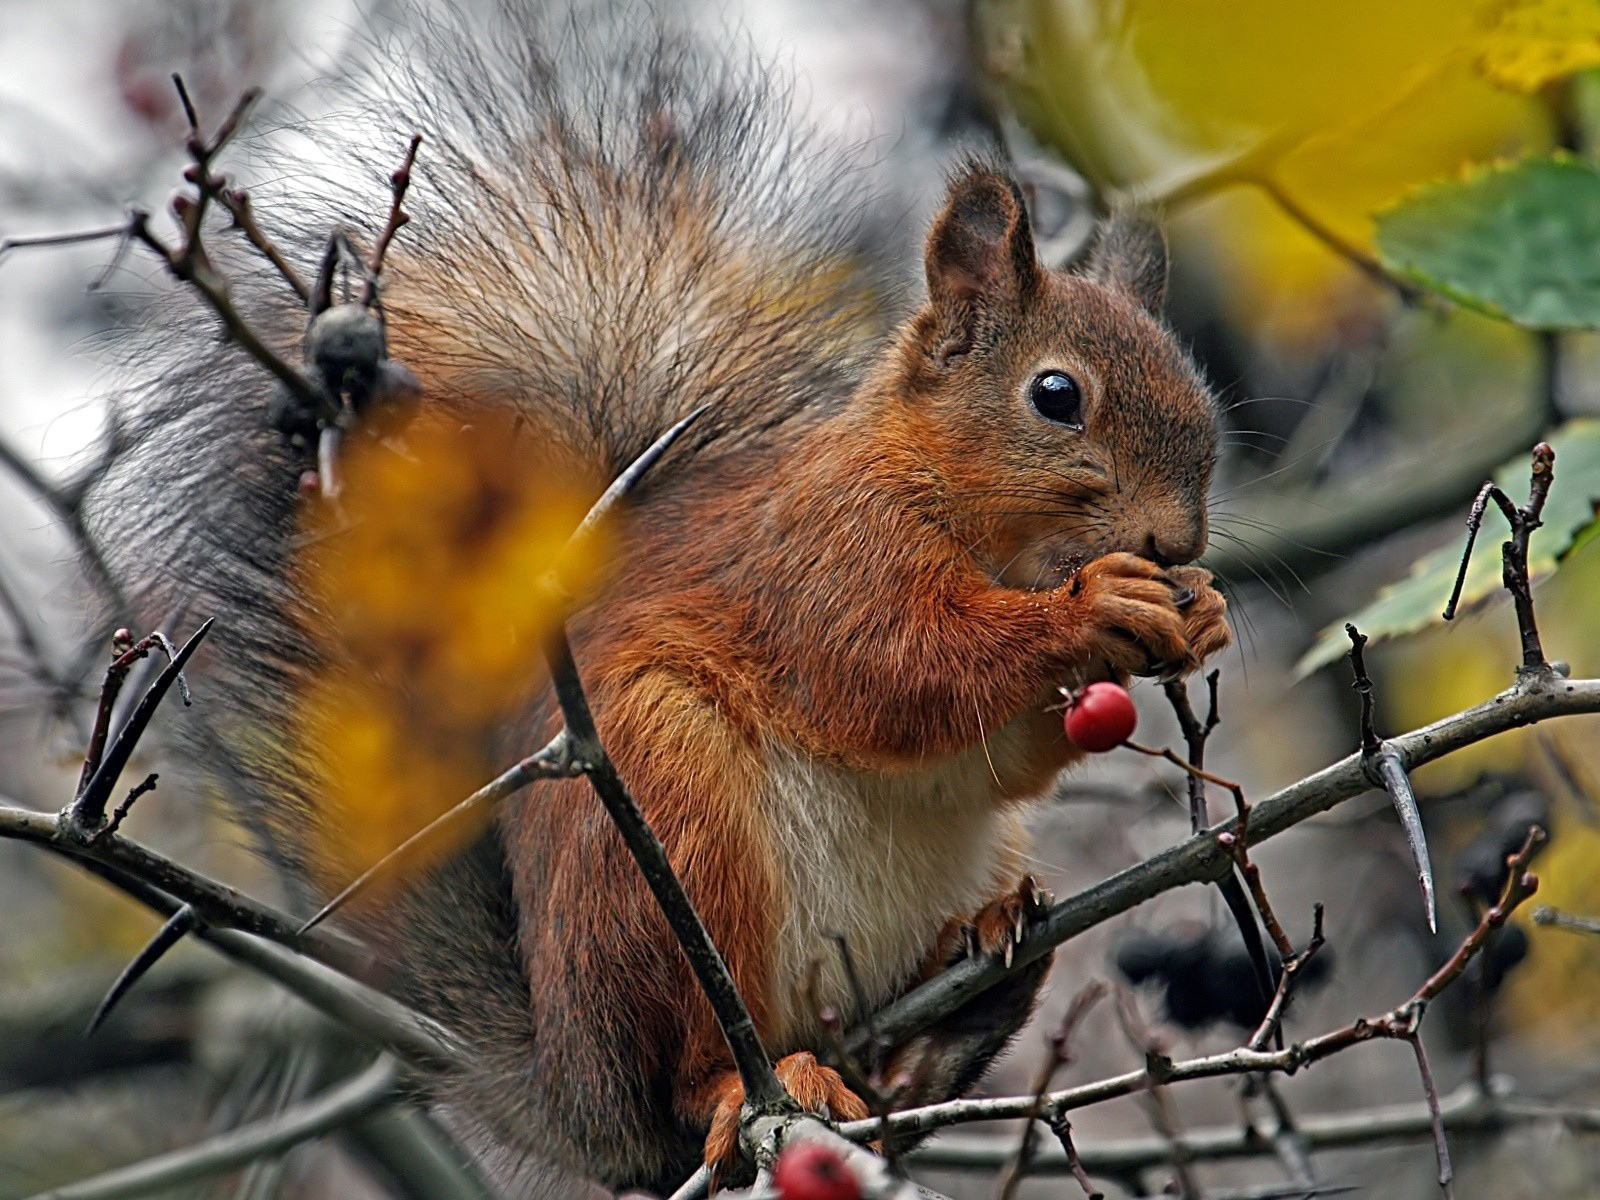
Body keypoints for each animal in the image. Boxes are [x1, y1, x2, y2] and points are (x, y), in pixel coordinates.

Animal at [90, 7, 1222, 1196]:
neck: (969, 516)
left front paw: (1199, 614)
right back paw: (753, 1086)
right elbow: (897, 671)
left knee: (890, 1063)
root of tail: (577, 1093)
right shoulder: (822, 557)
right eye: (1056, 396)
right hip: (662, 827)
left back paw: (961, 994)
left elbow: (996, 756)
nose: (1176, 543)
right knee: (688, 1069)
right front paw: (1095, 605)